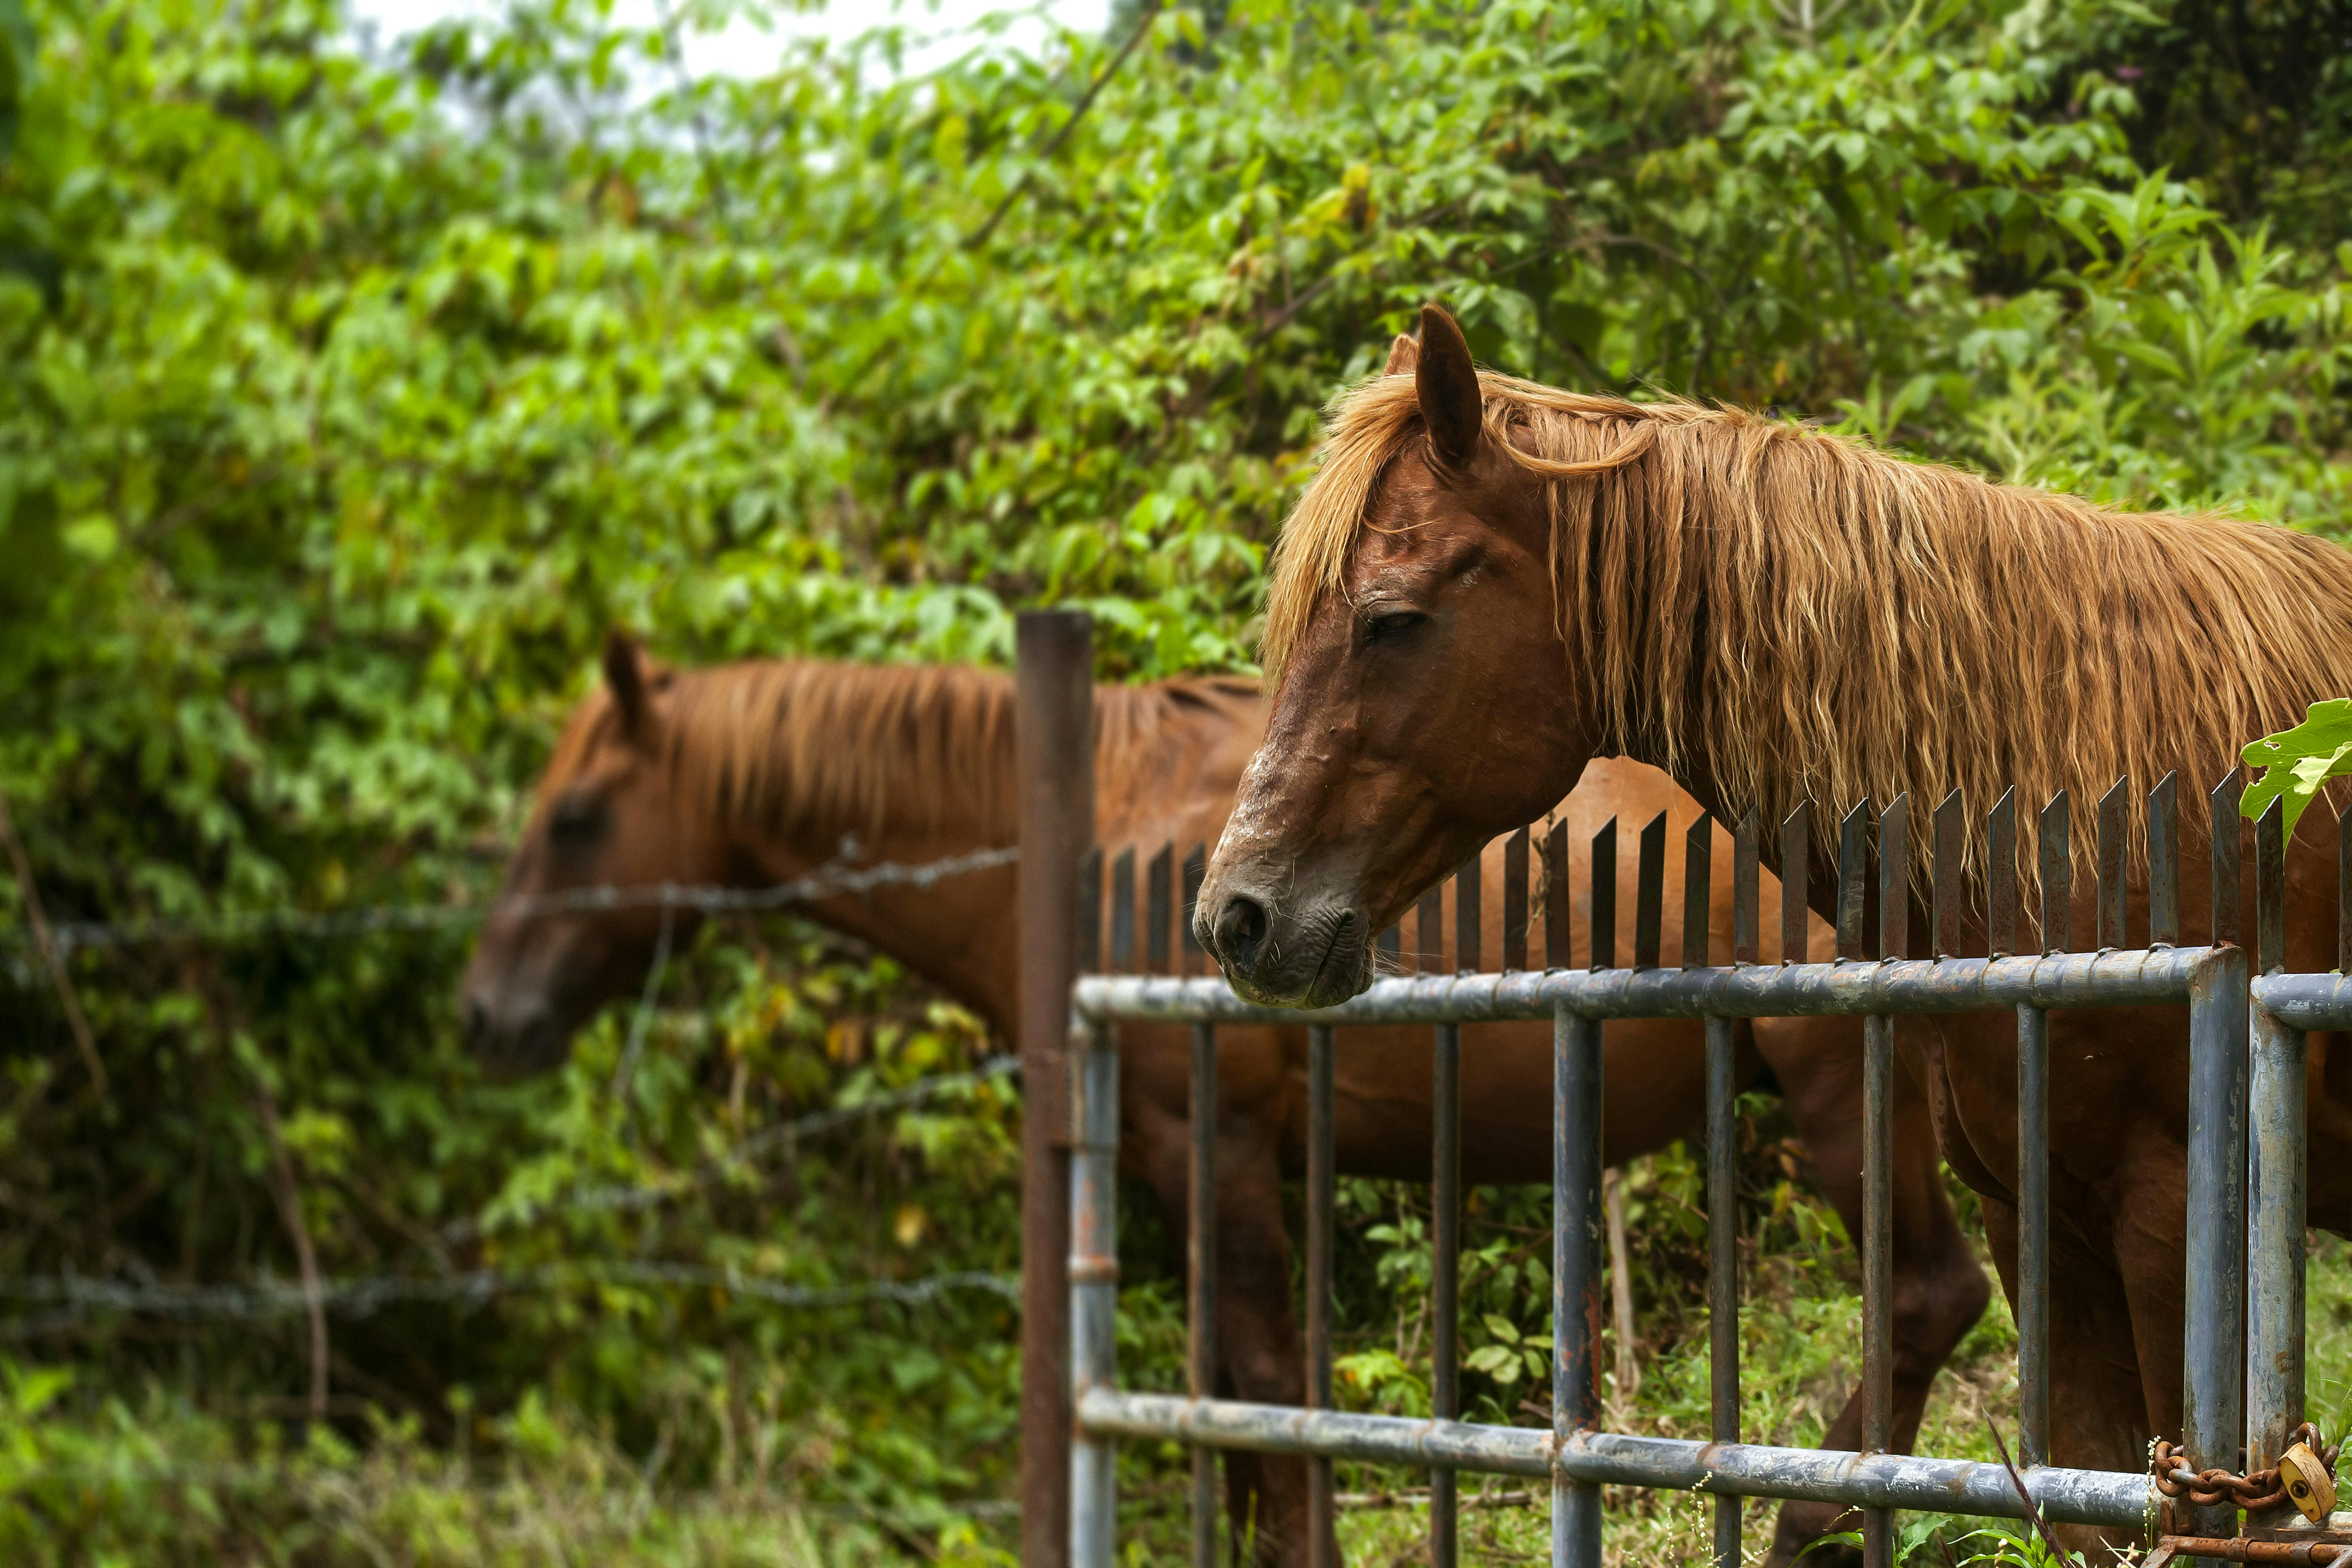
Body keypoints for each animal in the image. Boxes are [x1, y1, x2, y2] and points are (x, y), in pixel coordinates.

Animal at [460, 635, 1990, 1568]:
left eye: (579, 818)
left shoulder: (1222, 1146)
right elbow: (1224, 1398)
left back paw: (1808, 1533)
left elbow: (1265, 1382)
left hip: (1840, 1086)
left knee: (1929, 1294)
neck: (1085, 840)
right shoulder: (1158, 1162)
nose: (485, 1017)